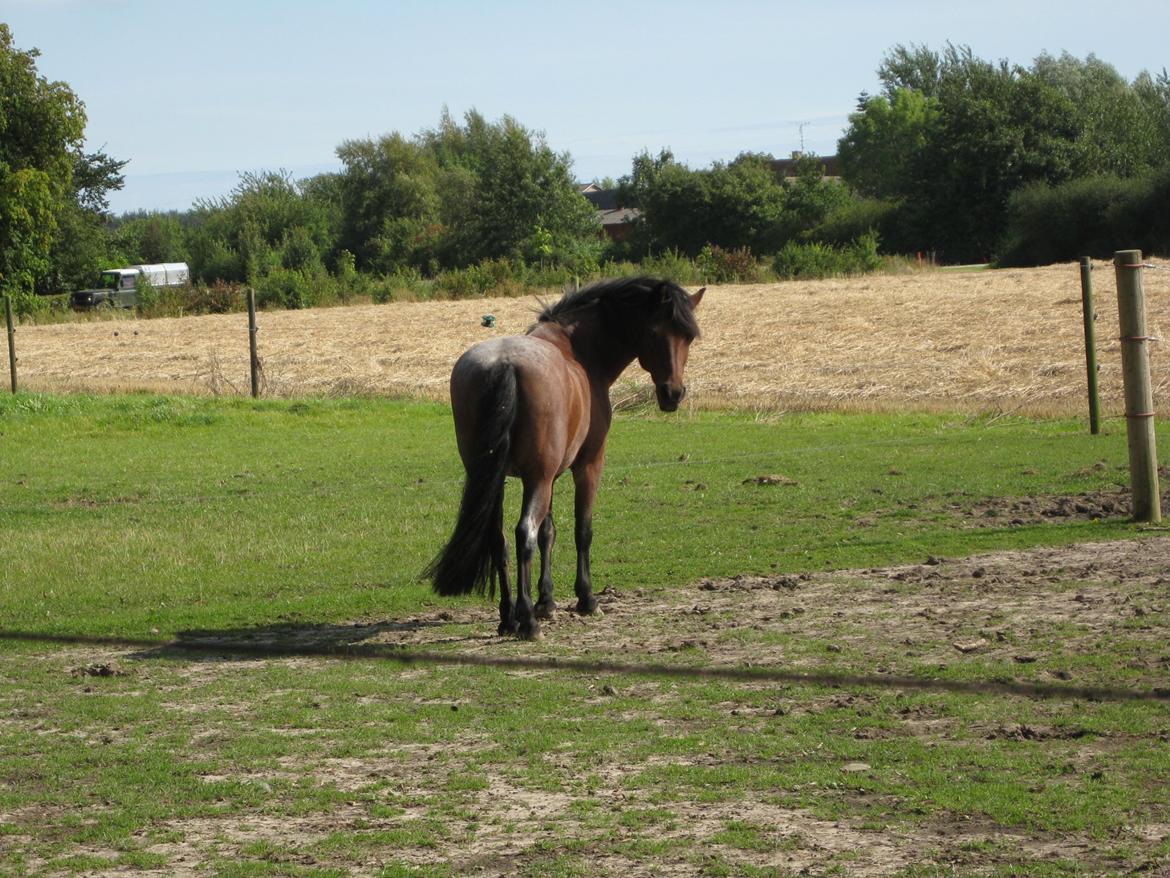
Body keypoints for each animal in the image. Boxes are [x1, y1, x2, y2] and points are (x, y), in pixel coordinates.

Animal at [428, 276, 702, 641]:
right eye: (655, 331)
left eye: (688, 337)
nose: (673, 394)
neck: (578, 351)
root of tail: (505, 363)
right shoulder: (587, 465)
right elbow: (580, 530)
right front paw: (585, 599)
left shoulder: (550, 475)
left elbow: (549, 531)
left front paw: (547, 602)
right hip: (537, 480)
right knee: (523, 534)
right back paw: (526, 622)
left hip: (495, 479)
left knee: (500, 539)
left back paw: (508, 618)